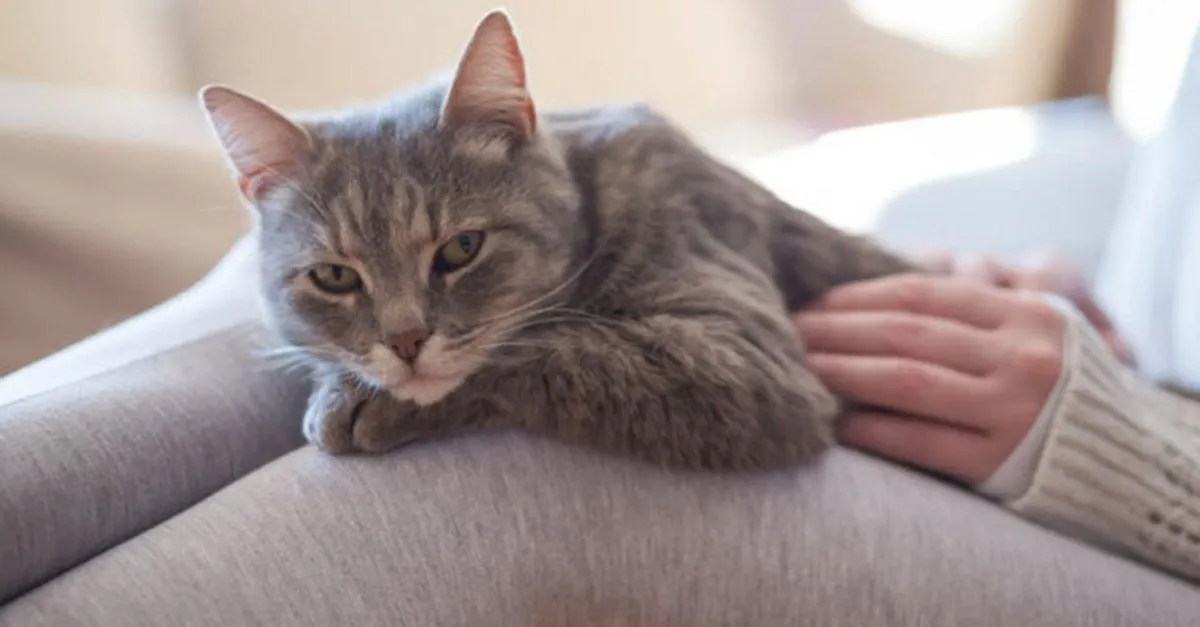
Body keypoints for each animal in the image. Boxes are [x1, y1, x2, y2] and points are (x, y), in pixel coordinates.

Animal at [199, 8, 907, 468]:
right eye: (335, 276)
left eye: (461, 249)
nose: (405, 342)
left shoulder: (743, 359)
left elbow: (556, 348)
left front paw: (357, 402)